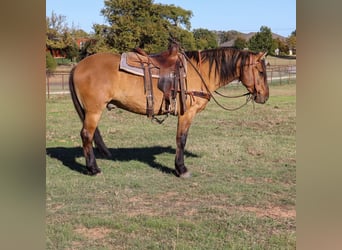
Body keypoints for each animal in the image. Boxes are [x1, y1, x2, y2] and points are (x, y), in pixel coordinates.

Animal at [69, 44, 268, 177]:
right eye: (260, 72)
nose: (264, 96)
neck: (200, 72)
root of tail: (78, 66)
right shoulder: (187, 114)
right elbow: (181, 139)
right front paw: (181, 169)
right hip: (94, 111)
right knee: (86, 135)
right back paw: (93, 169)